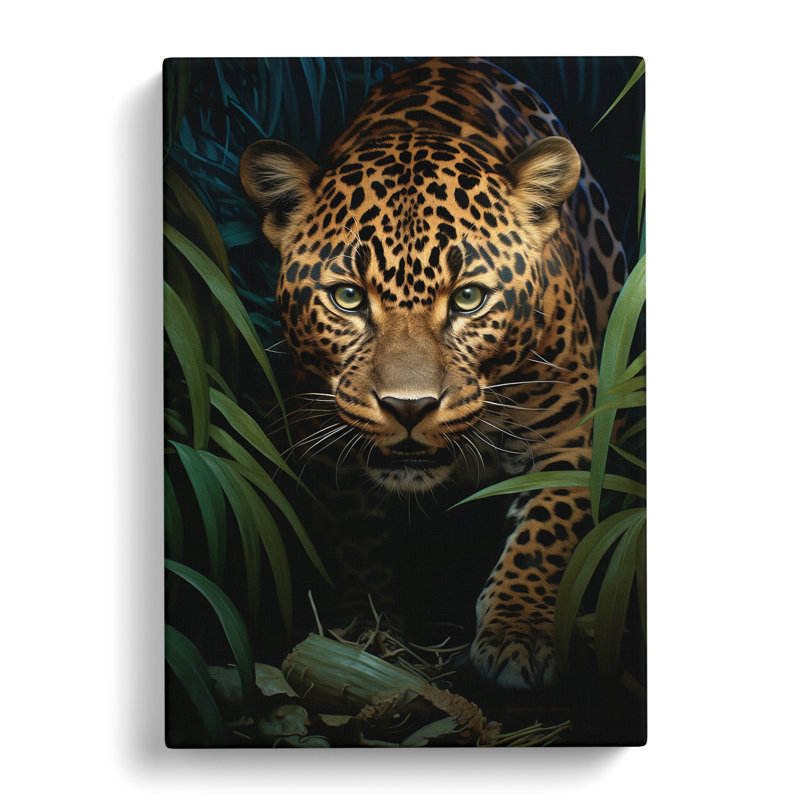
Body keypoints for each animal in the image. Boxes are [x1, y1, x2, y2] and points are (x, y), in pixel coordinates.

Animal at [239, 57, 628, 690]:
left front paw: (517, 634)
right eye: (348, 297)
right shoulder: (326, 447)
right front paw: (366, 631)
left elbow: (545, 535)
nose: (409, 407)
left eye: (469, 298)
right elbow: (356, 542)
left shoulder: (568, 434)